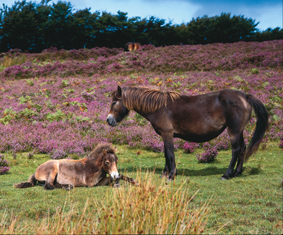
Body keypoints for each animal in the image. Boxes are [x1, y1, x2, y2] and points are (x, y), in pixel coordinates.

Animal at [106, 87, 268, 181]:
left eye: (114, 102)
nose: (109, 120)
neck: (159, 107)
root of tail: (245, 96)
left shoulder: (167, 134)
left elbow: (170, 154)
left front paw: (171, 175)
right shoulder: (164, 135)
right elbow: (166, 154)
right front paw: (165, 173)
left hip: (233, 130)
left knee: (236, 150)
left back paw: (227, 175)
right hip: (239, 131)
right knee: (243, 148)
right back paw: (237, 173)